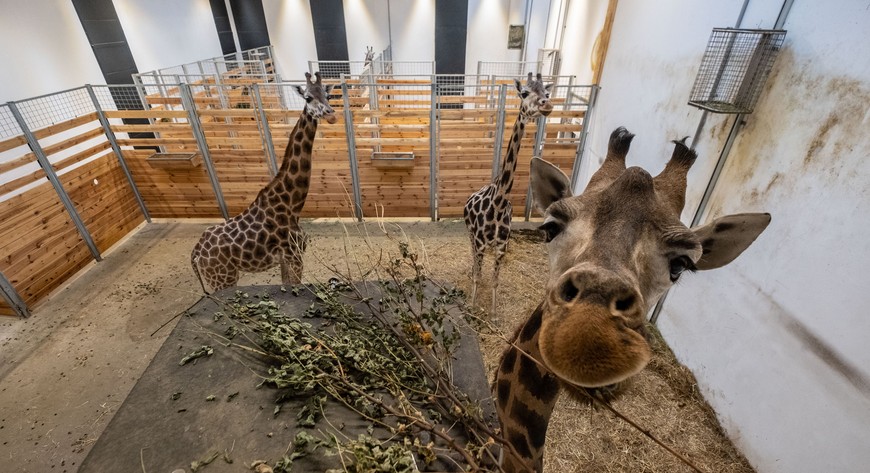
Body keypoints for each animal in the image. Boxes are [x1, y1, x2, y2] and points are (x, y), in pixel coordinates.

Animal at [191, 71, 338, 292]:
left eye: (328, 96)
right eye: (307, 97)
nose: (331, 115)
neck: (292, 205)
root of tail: (196, 252)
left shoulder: (286, 259)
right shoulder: (294, 256)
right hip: (222, 278)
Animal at [466, 72, 556, 312]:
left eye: (547, 93)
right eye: (524, 93)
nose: (546, 105)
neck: (497, 202)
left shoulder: (501, 246)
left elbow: (495, 280)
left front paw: (494, 313)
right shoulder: (480, 243)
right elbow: (478, 278)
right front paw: (472, 307)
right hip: (471, 236)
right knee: (473, 259)